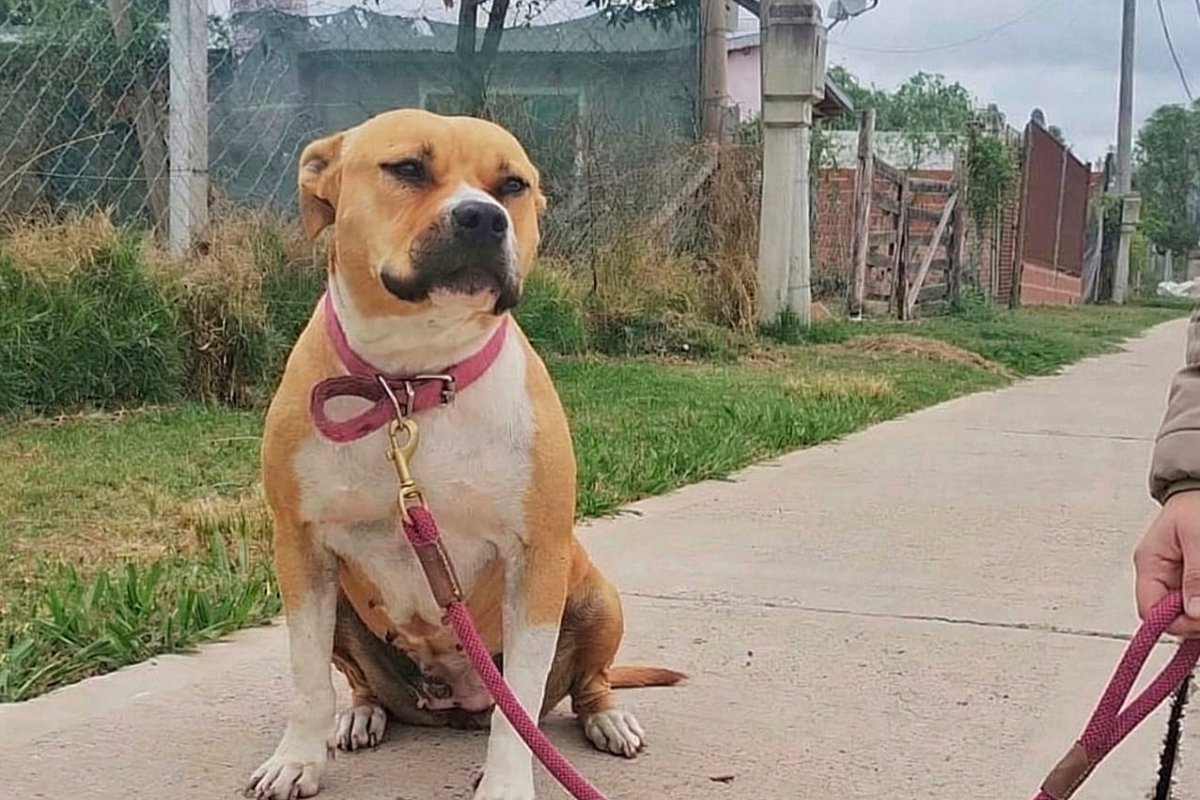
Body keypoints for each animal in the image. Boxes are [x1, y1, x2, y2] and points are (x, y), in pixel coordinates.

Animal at [248, 109, 685, 800]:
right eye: (406, 168)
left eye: (512, 185)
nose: (483, 217)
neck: (411, 383)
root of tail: (454, 703)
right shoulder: (301, 549)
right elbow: (308, 676)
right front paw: (297, 759)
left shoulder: (535, 561)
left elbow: (521, 707)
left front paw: (506, 784)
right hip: (344, 605)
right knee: (362, 683)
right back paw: (362, 715)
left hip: (594, 597)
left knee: (587, 685)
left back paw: (608, 720)